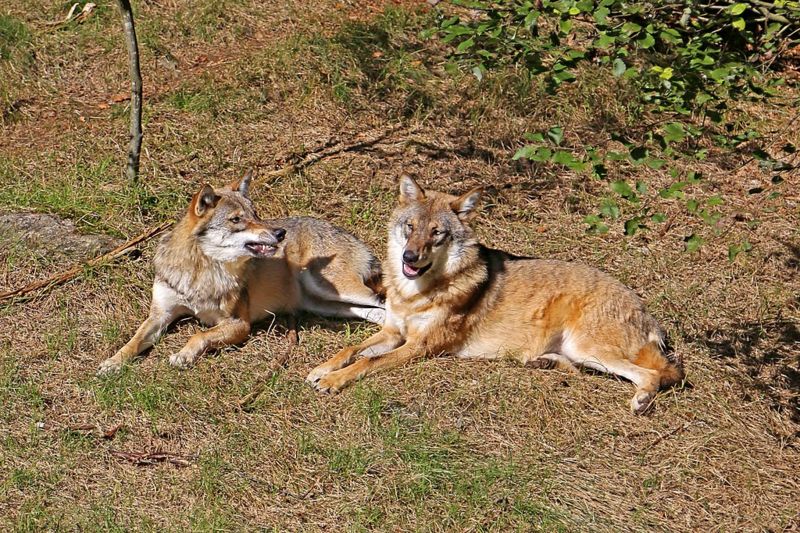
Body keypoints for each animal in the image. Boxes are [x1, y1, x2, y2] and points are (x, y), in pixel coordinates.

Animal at [98, 170, 386, 374]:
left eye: (256, 214)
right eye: (237, 219)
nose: (280, 233)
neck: (203, 271)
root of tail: (353, 237)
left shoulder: (239, 324)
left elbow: (199, 335)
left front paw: (183, 355)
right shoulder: (160, 315)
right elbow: (134, 341)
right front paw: (113, 362)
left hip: (332, 288)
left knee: (384, 303)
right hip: (328, 304)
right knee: (379, 313)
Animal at [310, 177, 684, 414]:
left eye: (437, 234)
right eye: (410, 228)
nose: (409, 257)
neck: (416, 292)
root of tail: (647, 314)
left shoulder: (420, 346)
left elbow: (366, 362)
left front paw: (333, 380)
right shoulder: (392, 331)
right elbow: (350, 349)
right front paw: (322, 368)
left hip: (588, 348)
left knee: (656, 375)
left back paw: (641, 402)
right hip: (579, 353)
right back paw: (543, 362)